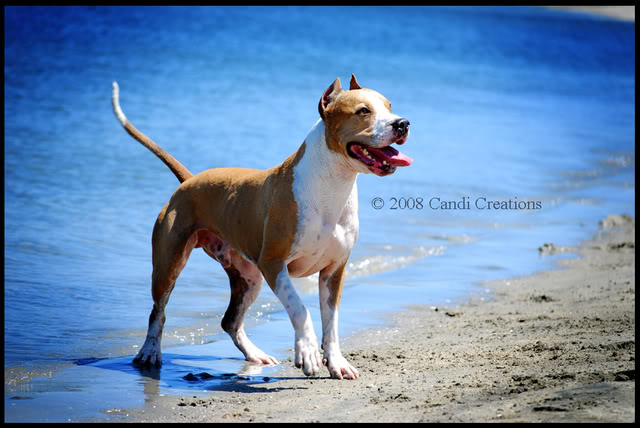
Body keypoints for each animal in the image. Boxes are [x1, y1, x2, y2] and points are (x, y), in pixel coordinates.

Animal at [110, 75, 412, 380]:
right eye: (363, 111)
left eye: (389, 106)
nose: (403, 123)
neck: (333, 184)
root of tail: (189, 180)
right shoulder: (273, 263)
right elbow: (300, 308)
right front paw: (307, 352)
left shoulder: (333, 271)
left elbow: (332, 323)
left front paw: (337, 362)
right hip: (169, 264)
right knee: (158, 311)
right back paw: (149, 352)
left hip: (249, 277)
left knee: (230, 321)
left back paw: (255, 354)